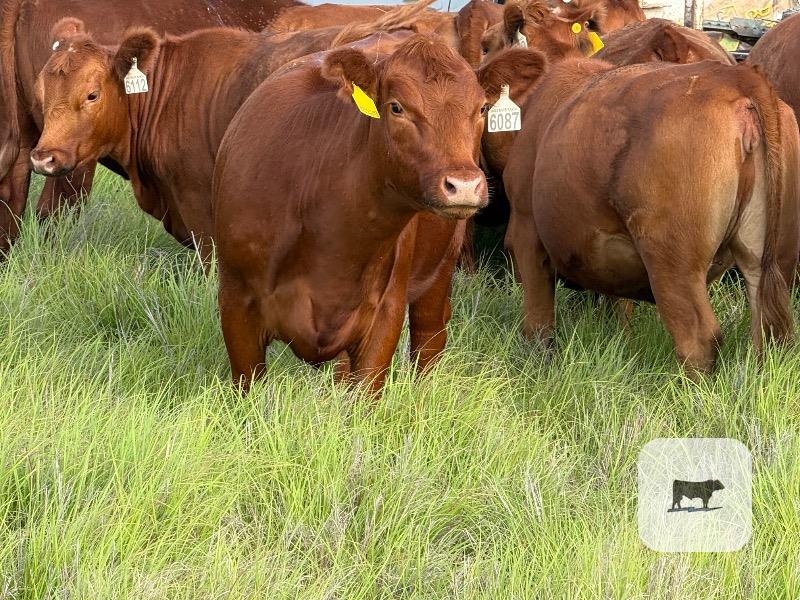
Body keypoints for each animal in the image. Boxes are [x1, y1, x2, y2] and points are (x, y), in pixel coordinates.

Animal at [212, 39, 547, 393]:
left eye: (482, 108)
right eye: (396, 107)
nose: (465, 185)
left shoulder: (385, 315)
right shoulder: (236, 307)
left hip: (440, 267)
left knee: (428, 337)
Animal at [499, 58, 800, 374]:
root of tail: (734, 76)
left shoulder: (526, 232)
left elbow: (538, 321)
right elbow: (620, 308)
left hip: (674, 261)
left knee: (699, 340)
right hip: (773, 257)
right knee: (768, 330)